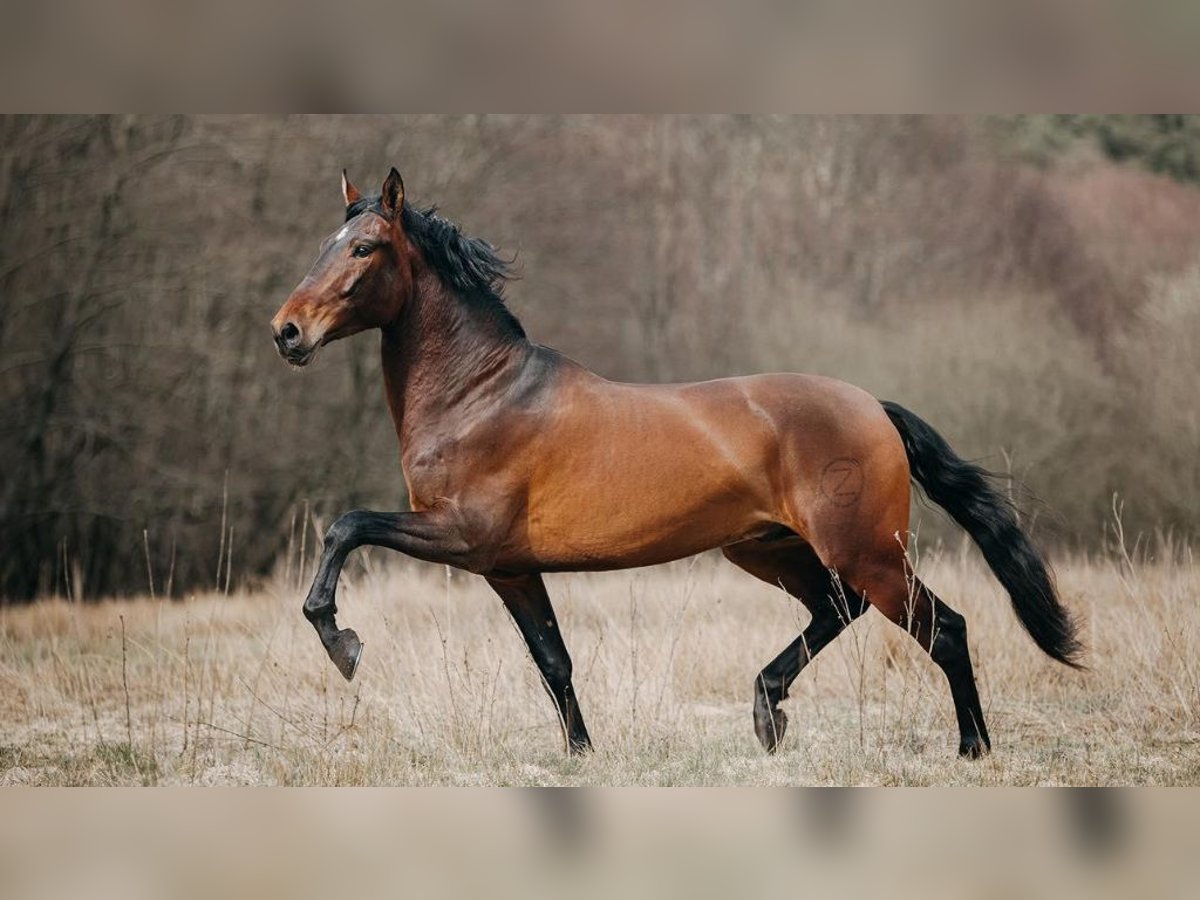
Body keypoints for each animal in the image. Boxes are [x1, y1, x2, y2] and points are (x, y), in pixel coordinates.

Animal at [274, 169, 1089, 763]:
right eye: (322, 244)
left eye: (364, 249)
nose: (287, 331)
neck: (481, 393)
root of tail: (873, 408)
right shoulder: (509, 566)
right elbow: (553, 661)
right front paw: (582, 754)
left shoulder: (460, 536)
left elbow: (347, 525)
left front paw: (340, 641)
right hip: (769, 550)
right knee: (836, 611)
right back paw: (768, 711)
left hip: (867, 554)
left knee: (942, 628)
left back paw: (972, 748)